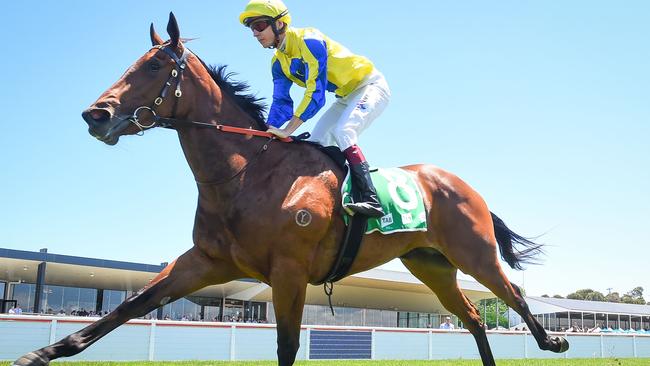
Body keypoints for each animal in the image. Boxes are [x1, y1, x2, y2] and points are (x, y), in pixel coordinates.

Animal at [12, 12, 564, 366]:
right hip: (431, 264)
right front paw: (38, 353)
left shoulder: (289, 270)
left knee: (512, 294)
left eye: (152, 66)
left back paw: (553, 342)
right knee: (473, 318)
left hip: (474, 252)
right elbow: (129, 307)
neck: (245, 173)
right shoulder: (205, 261)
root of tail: (458, 182)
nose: (95, 114)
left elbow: (287, 347)